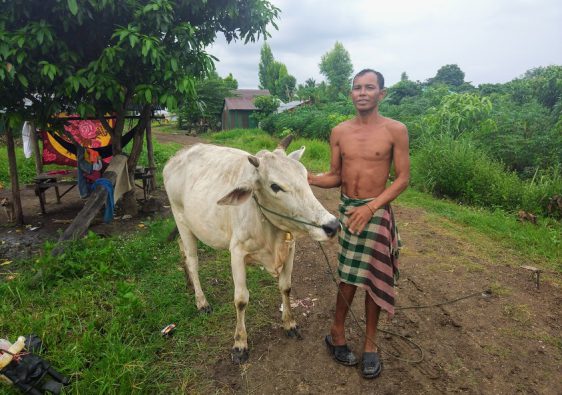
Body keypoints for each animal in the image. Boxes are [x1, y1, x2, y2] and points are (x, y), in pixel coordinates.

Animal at [162, 140, 336, 366]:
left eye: (305, 176)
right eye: (275, 186)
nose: (332, 225)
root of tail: (175, 157)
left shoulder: (290, 247)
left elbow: (286, 287)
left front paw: (290, 324)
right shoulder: (236, 252)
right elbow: (241, 299)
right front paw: (240, 344)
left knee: (181, 249)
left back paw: (189, 284)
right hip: (181, 219)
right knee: (192, 261)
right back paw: (201, 301)